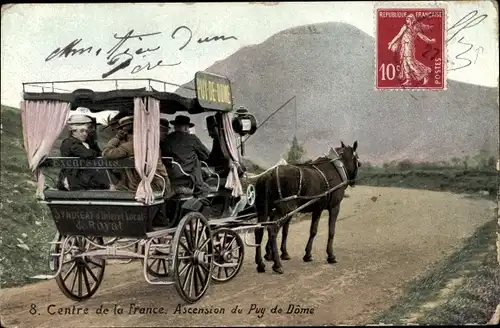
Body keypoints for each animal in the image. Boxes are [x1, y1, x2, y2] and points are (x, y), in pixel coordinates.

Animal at [254, 141, 360, 274]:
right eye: (357, 160)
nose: (353, 181)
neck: (336, 168)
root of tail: (270, 174)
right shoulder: (335, 206)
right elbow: (331, 231)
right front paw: (331, 255)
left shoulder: (317, 209)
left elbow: (313, 231)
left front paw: (307, 254)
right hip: (285, 209)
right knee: (272, 229)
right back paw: (277, 264)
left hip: (265, 210)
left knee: (259, 230)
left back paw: (260, 264)